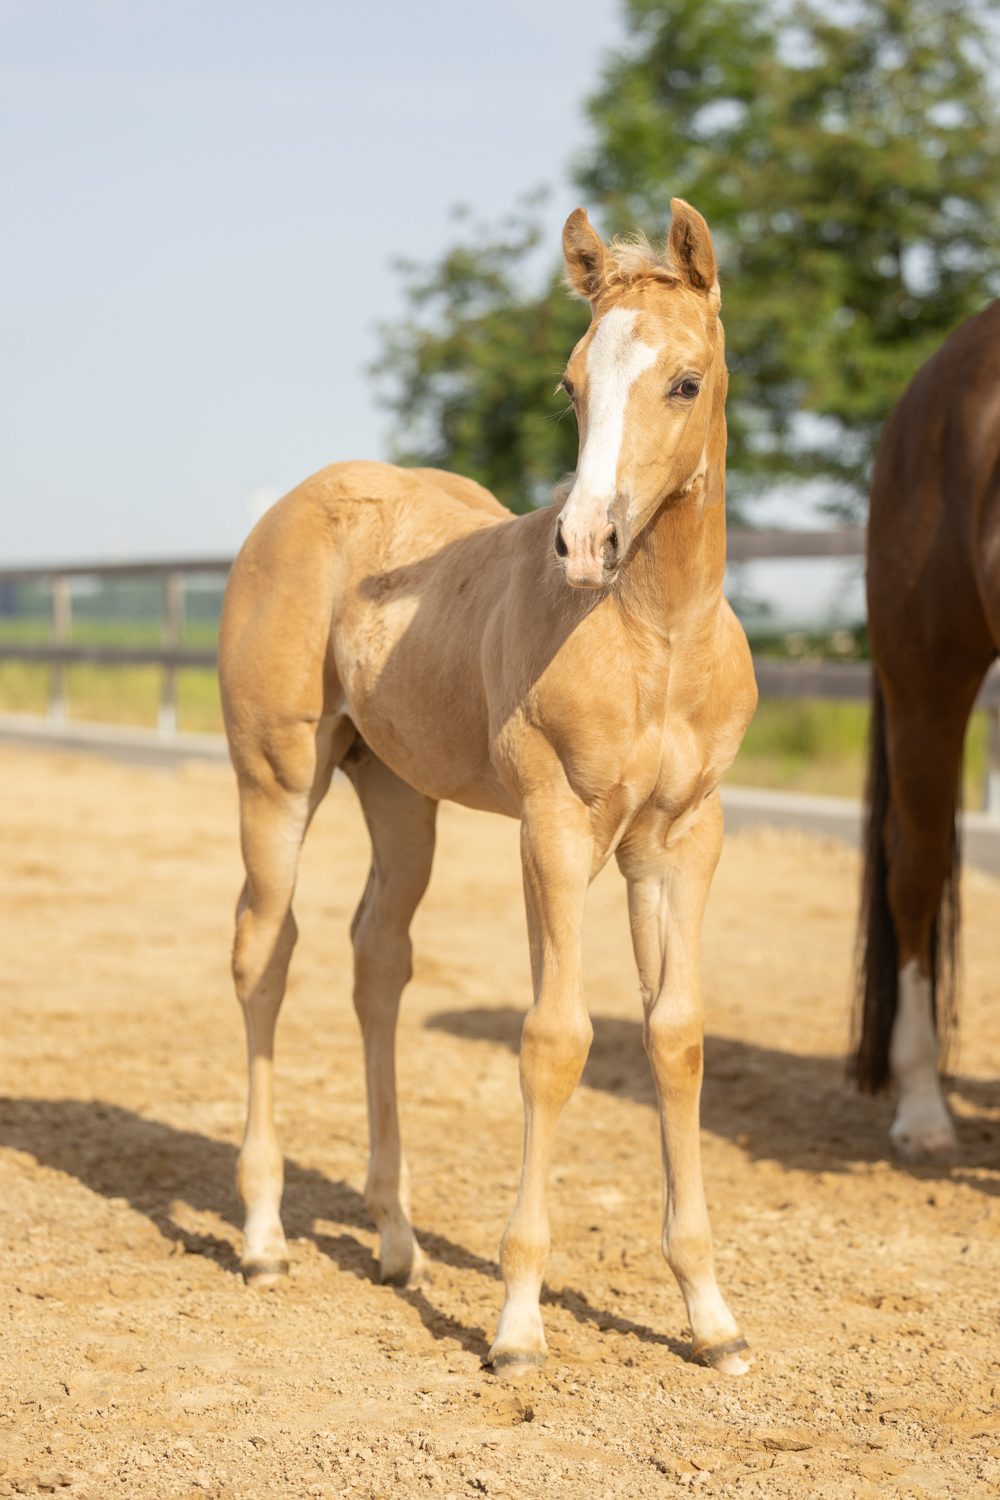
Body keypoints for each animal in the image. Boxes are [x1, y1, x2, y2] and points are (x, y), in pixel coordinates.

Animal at [218, 198, 758, 1377]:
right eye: (571, 382)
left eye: (684, 380)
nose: (586, 541)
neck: (655, 635)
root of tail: (296, 503)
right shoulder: (553, 829)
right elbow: (555, 1039)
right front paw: (516, 1323)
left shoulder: (681, 840)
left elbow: (676, 1036)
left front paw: (710, 1316)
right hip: (277, 778)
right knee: (263, 955)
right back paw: (265, 1236)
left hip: (396, 792)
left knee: (376, 960)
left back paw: (394, 1240)